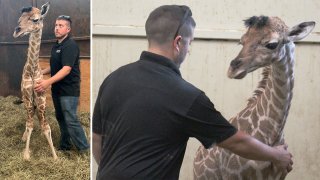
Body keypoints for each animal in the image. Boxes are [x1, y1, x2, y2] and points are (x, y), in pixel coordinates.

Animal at [12, 2, 57, 160]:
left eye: (35, 19)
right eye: (19, 19)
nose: (17, 31)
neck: (32, 70)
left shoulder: (41, 98)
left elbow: (46, 127)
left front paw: (55, 157)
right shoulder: (27, 97)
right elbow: (30, 125)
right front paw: (26, 155)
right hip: (27, 100)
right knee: (28, 119)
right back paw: (24, 137)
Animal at [194, 16, 314, 179]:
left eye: (271, 44)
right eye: (241, 41)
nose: (233, 69)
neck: (273, 133)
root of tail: (196, 157)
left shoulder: (280, 175)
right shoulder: (234, 176)